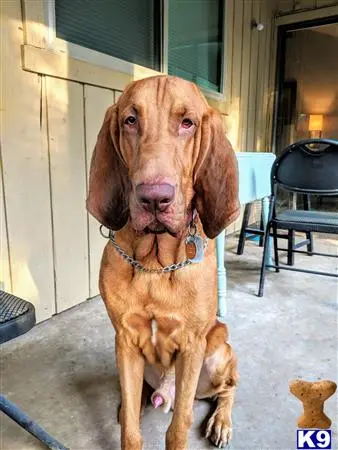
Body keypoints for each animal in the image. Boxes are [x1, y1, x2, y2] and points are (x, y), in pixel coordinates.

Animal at [87, 75, 240, 448]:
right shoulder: (126, 341)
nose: (154, 198)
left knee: (228, 388)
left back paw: (221, 422)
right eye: (130, 120)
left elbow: (179, 425)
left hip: (217, 355)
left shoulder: (192, 347)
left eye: (187, 123)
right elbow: (129, 428)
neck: (156, 265)